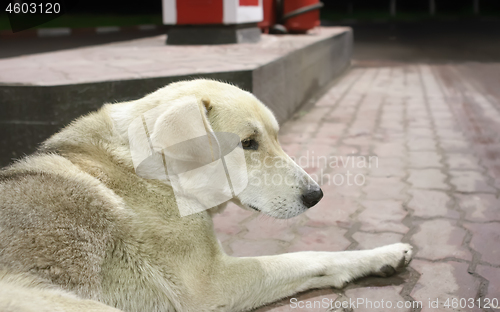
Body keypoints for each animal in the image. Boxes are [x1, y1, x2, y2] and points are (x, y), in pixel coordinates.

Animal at [0, 80, 410, 312]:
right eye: (248, 143)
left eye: (276, 137)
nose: (317, 195)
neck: (161, 176)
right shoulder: (211, 284)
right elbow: (308, 256)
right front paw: (380, 254)